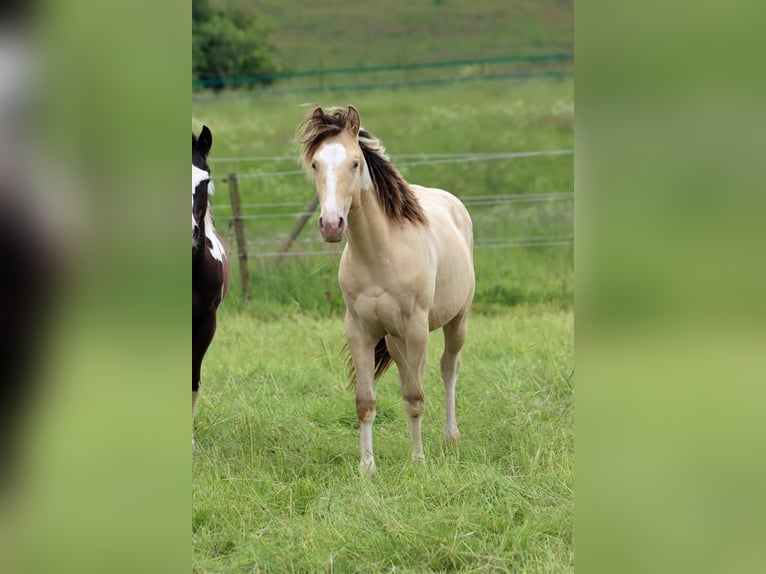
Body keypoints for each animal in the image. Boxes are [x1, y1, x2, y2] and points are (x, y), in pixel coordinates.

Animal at [298, 104, 474, 476]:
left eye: (354, 162)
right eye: (315, 164)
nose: (331, 225)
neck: (382, 253)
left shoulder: (417, 329)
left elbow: (416, 398)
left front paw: (418, 461)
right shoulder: (359, 331)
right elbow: (367, 402)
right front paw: (367, 467)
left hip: (456, 322)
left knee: (448, 368)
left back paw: (450, 435)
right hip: (395, 338)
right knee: (409, 375)